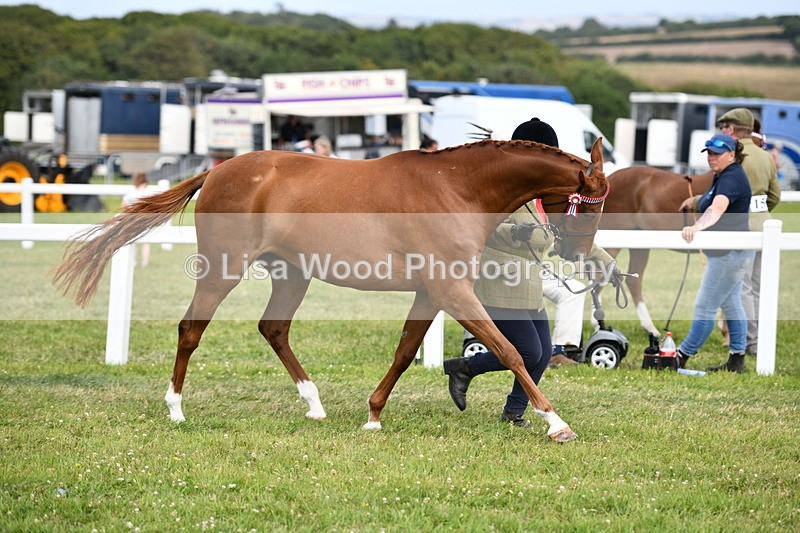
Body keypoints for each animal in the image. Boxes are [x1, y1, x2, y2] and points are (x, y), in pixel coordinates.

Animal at [52, 138, 609, 443]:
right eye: (592, 202)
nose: (580, 254)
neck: (456, 188)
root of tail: (218, 169)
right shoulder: (452, 291)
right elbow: (510, 350)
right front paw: (556, 423)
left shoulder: (432, 293)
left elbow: (406, 350)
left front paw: (373, 415)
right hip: (222, 269)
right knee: (192, 328)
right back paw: (176, 408)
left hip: (292, 274)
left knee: (274, 328)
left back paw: (314, 404)